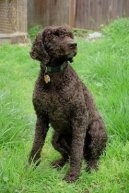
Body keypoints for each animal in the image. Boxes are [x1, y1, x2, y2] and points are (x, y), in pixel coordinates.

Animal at [28, 25, 107, 182]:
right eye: (54, 35)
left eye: (70, 35)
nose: (74, 44)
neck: (54, 77)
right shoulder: (41, 117)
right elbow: (37, 143)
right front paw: (31, 166)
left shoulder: (79, 117)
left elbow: (77, 150)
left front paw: (73, 175)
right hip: (55, 138)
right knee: (68, 155)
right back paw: (59, 163)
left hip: (96, 129)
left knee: (91, 156)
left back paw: (91, 167)